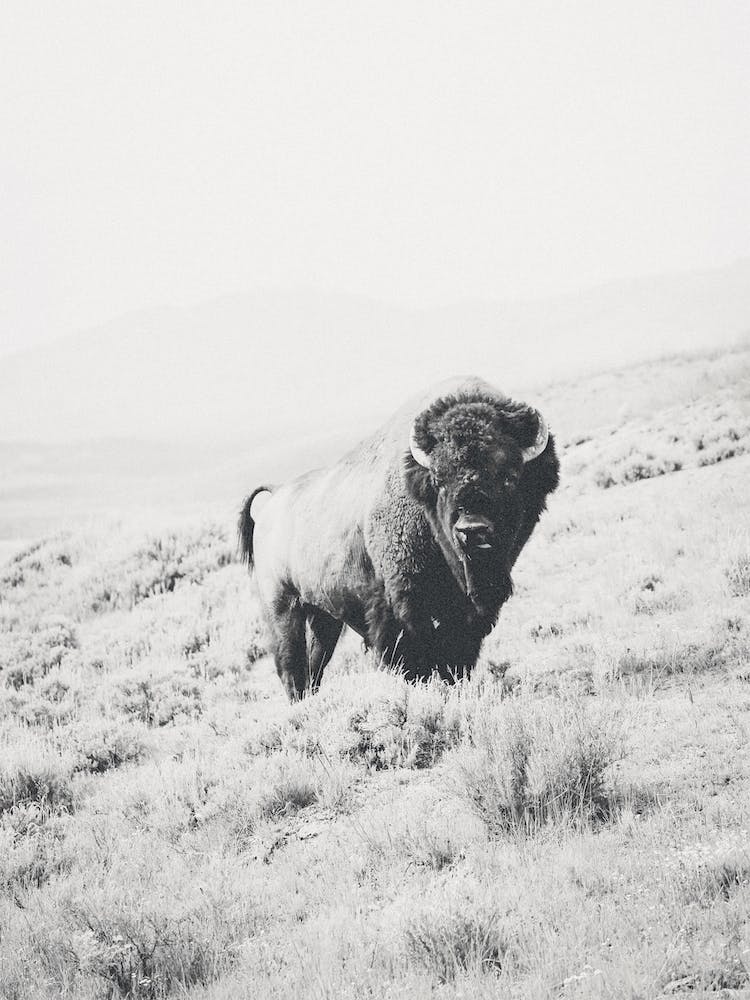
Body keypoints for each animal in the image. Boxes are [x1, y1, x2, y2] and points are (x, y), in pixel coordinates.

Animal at [240, 376, 559, 700]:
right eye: (439, 480)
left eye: (510, 476)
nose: (472, 529)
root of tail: (275, 497)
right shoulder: (401, 604)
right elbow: (412, 658)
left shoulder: (466, 613)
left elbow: (455, 656)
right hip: (282, 607)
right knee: (291, 666)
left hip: (323, 616)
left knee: (315, 664)